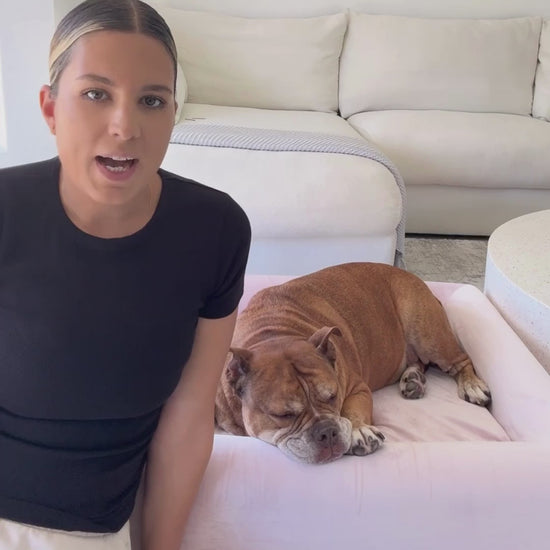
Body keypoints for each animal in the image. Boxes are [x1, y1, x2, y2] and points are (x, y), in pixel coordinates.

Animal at [215, 263, 491, 464]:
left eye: (332, 396)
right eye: (282, 415)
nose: (327, 431)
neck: (273, 333)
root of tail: (422, 284)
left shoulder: (358, 388)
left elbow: (353, 409)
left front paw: (359, 430)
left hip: (427, 333)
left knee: (461, 360)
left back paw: (472, 386)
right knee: (419, 363)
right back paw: (413, 379)